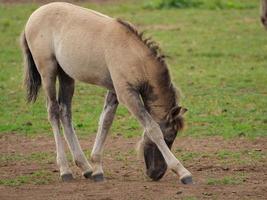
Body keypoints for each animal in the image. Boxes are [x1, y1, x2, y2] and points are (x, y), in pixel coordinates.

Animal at [21, 1, 193, 184]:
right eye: (169, 138)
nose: (156, 174)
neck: (134, 55)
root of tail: (34, 15)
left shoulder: (114, 91)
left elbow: (105, 121)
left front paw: (97, 168)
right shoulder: (127, 94)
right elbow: (152, 128)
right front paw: (183, 172)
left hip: (66, 75)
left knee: (65, 112)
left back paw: (85, 167)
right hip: (48, 71)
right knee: (53, 111)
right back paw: (65, 170)